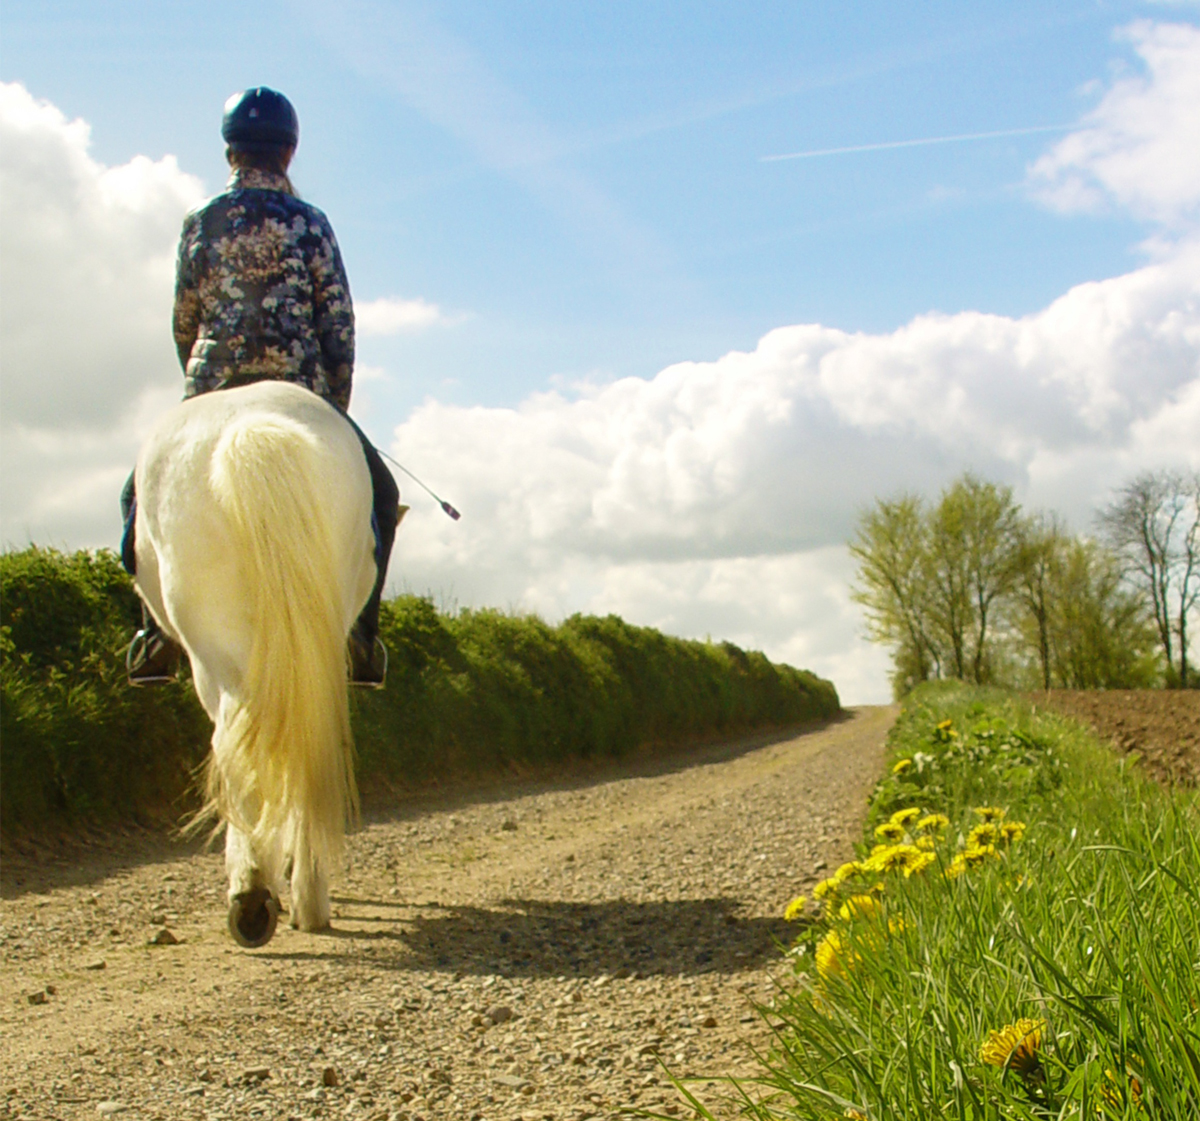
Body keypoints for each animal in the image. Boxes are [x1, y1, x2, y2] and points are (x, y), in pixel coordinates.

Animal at [132, 384, 376, 945]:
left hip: (216, 660)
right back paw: (292, 894)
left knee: (237, 746)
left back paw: (256, 894)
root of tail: (251, 424)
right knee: (302, 740)